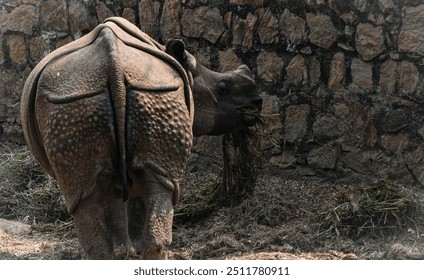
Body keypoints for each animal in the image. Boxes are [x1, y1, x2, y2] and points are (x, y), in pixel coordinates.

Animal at [20, 17, 262, 260]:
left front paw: (127, 250)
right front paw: (128, 250)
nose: (257, 102)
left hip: (119, 96)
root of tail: (113, 65)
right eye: (222, 88)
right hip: (101, 99)